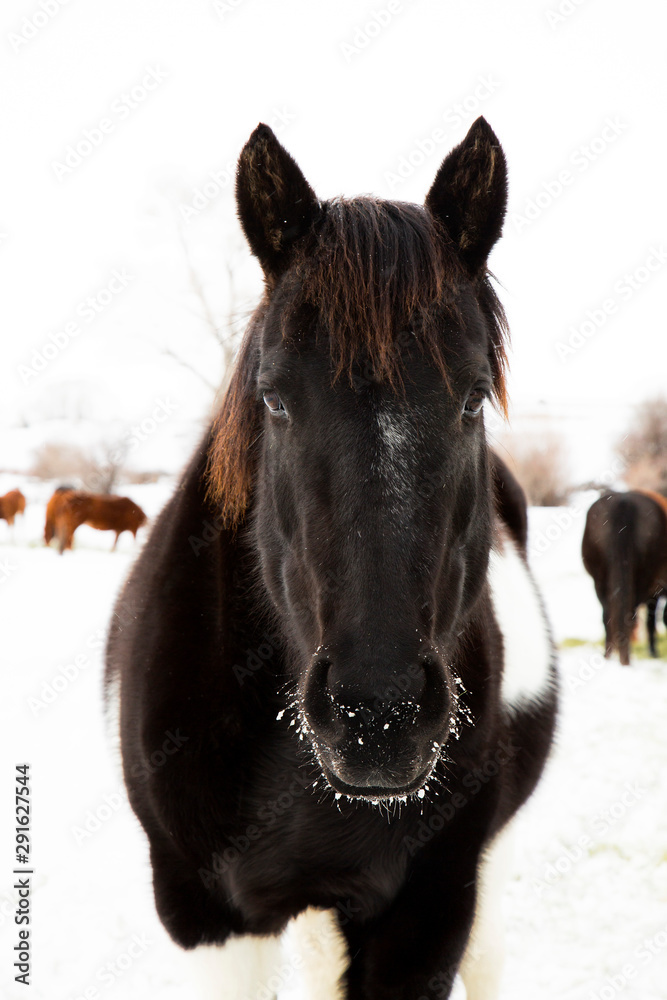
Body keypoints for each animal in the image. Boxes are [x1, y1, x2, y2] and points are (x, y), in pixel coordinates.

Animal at [582, 489, 667, 664]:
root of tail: (623, 504)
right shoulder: (655, 592)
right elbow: (651, 622)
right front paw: (653, 652)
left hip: (601, 583)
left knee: (609, 616)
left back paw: (611, 656)